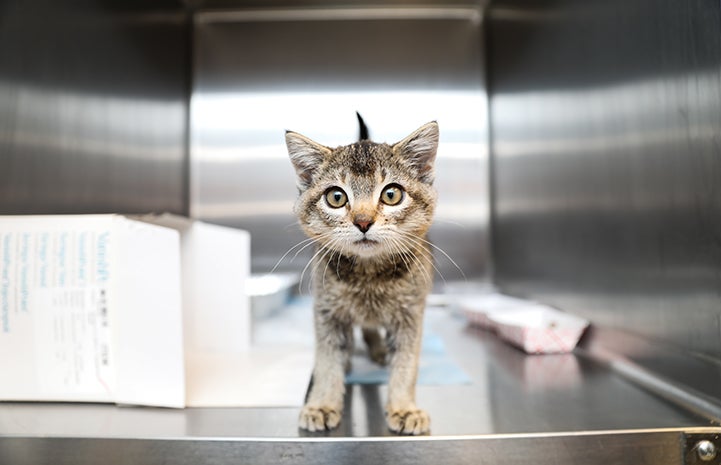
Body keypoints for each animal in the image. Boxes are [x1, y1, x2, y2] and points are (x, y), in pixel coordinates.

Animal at [284, 119, 436, 436]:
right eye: (336, 197)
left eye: (391, 194)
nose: (363, 222)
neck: (369, 277)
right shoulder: (327, 312)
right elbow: (327, 361)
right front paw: (323, 403)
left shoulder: (411, 316)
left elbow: (406, 364)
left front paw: (404, 408)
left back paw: (378, 350)